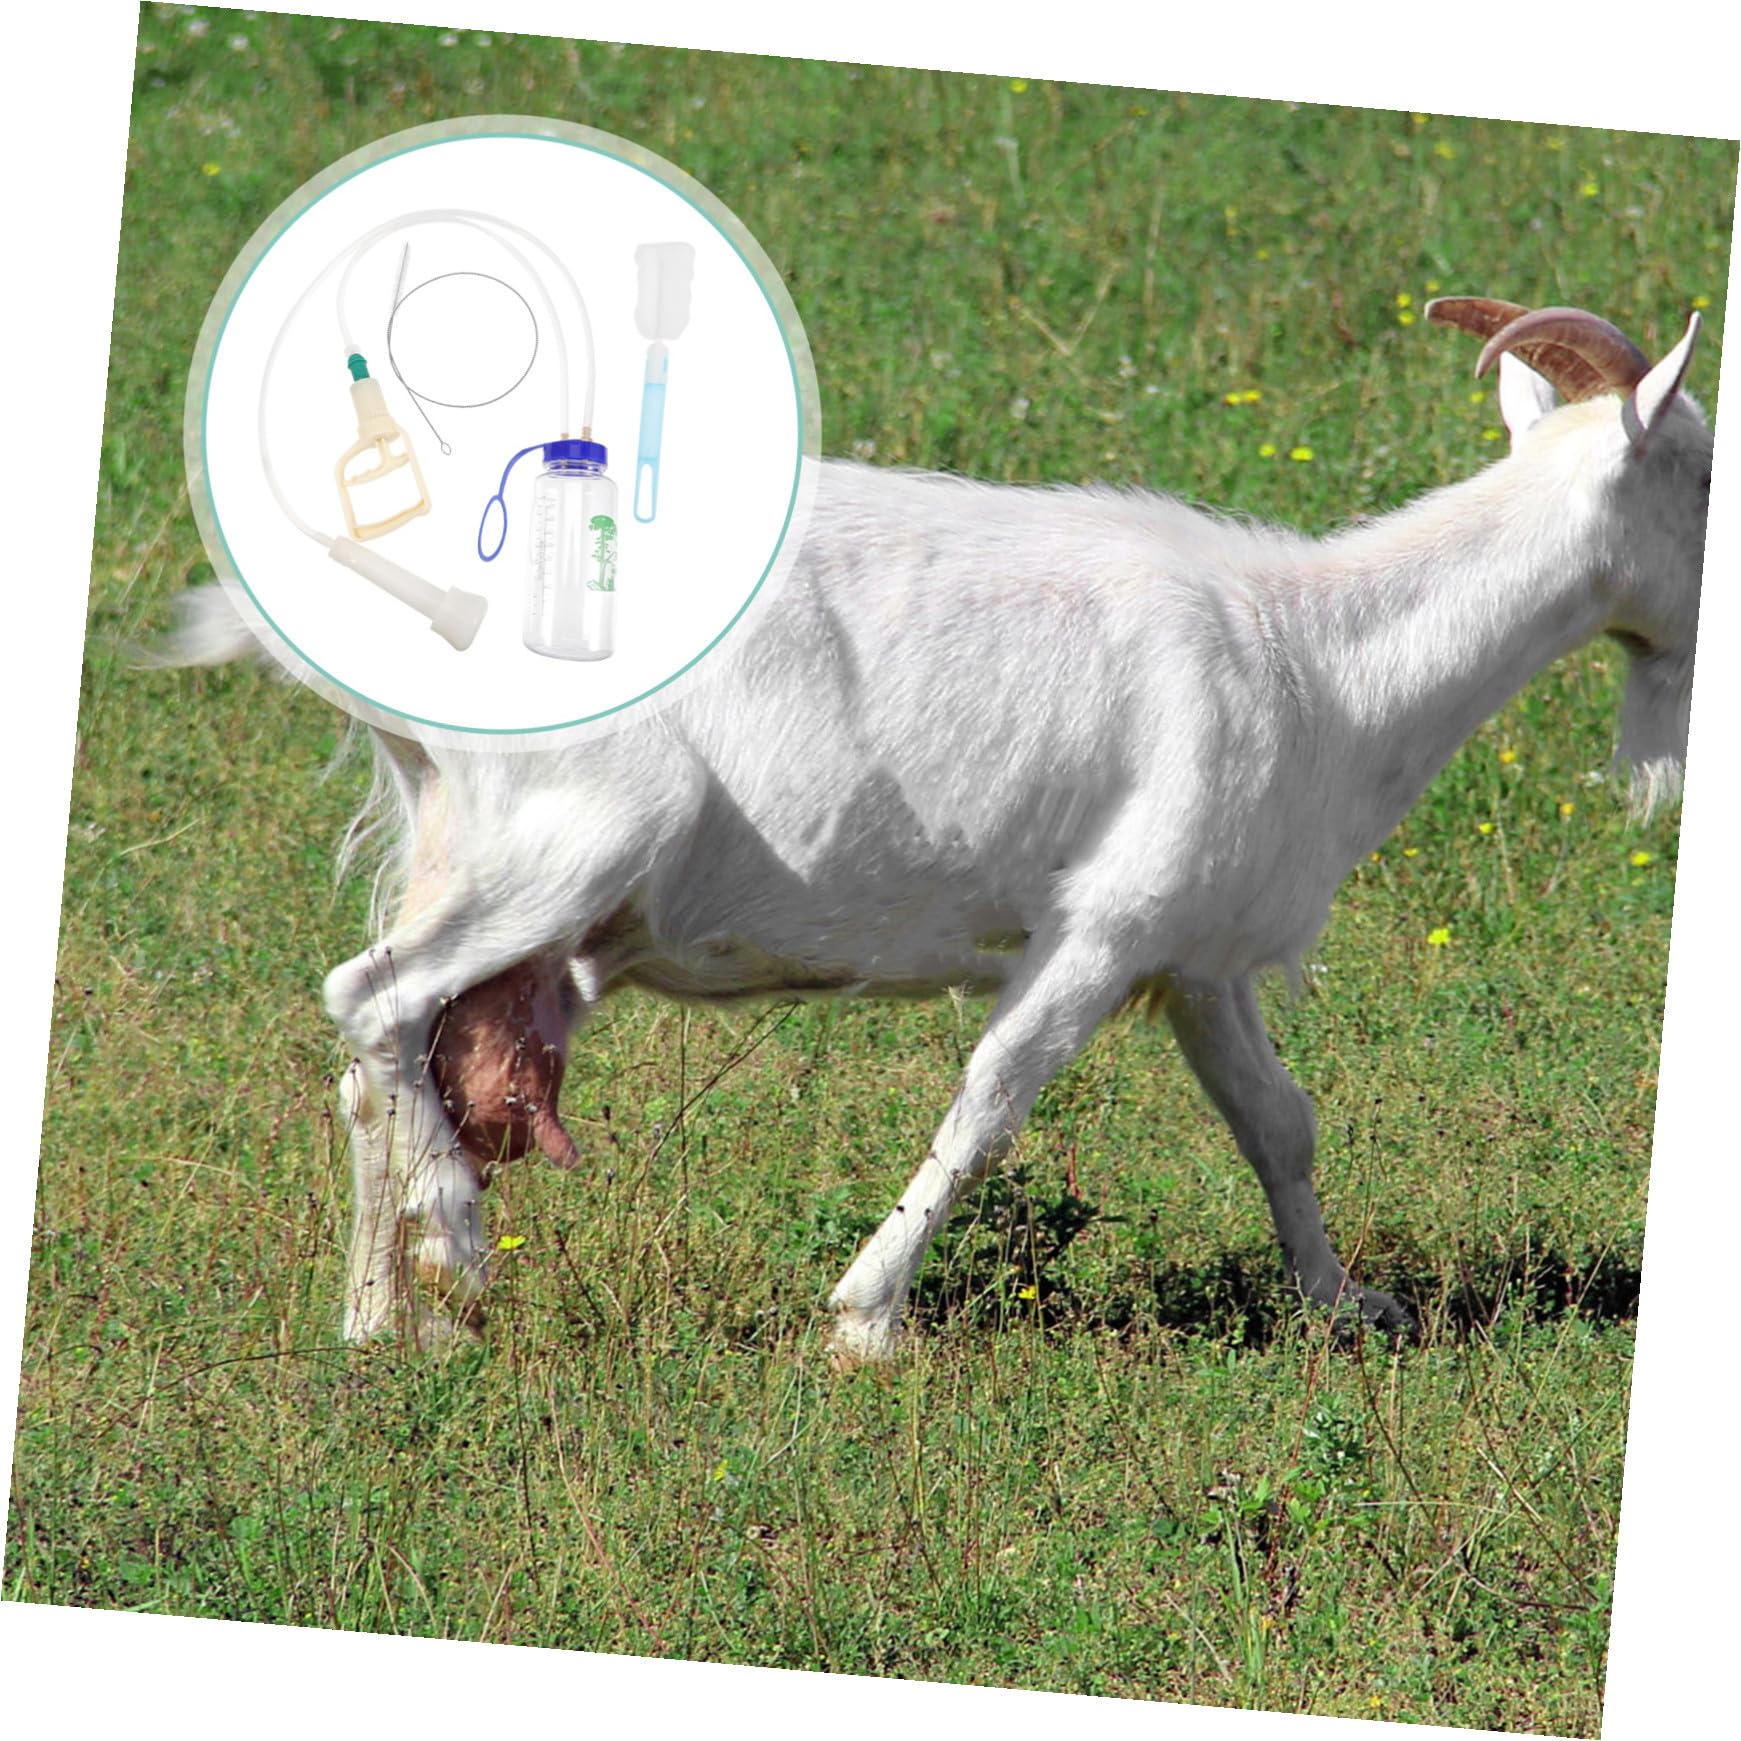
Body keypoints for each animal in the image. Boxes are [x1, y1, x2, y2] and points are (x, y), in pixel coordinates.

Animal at [172, 297, 1711, 1360]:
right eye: (1702, 471)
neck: (1318, 659)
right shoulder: (1101, 926)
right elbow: (989, 1101)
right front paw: (864, 1318)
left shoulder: (1194, 949)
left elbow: (1280, 1122)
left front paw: (1344, 1303)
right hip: (564, 843)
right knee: (371, 1000)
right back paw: (457, 1243)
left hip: (477, 853)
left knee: (378, 1061)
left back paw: (382, 1320)